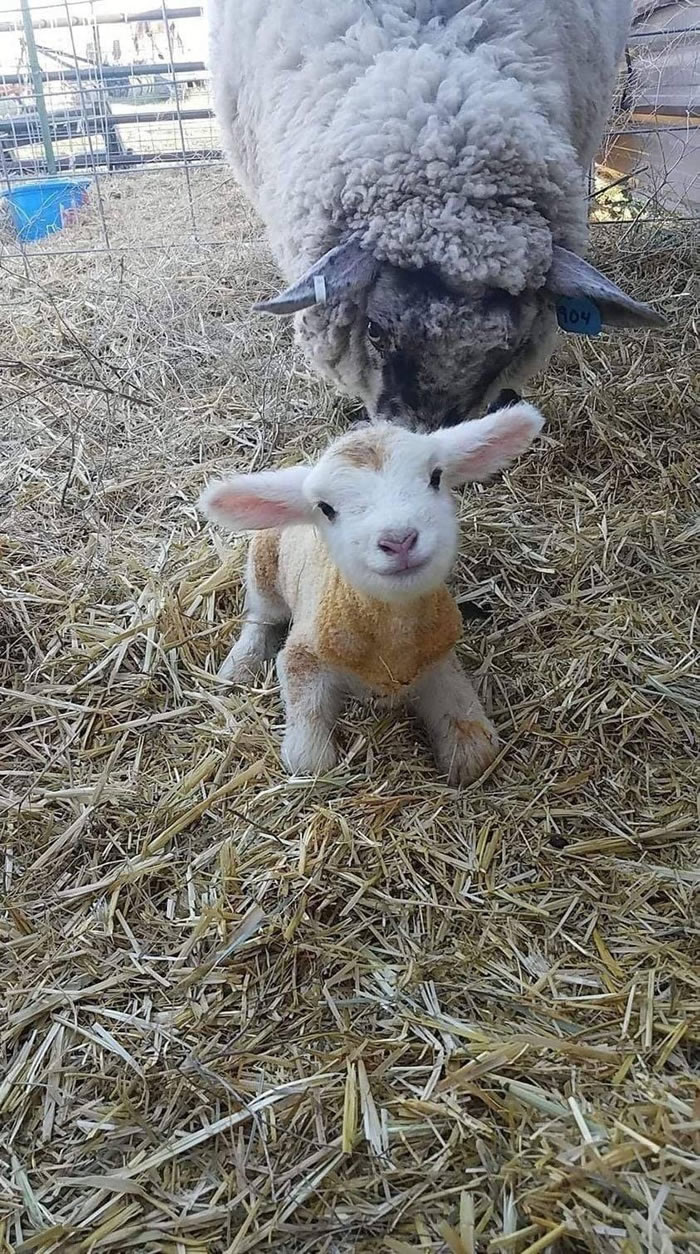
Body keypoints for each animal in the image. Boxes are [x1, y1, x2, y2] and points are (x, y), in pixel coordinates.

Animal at [200, 401, 546, 777]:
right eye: (326, 508)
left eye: (436, 477)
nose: (399, 540)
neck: (392, 636)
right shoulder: (304, 655)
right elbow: (309, 756)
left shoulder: (438, 657)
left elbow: (473, 740)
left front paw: (465, 751)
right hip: (263, 567)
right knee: (260, 617)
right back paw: (239, 666)